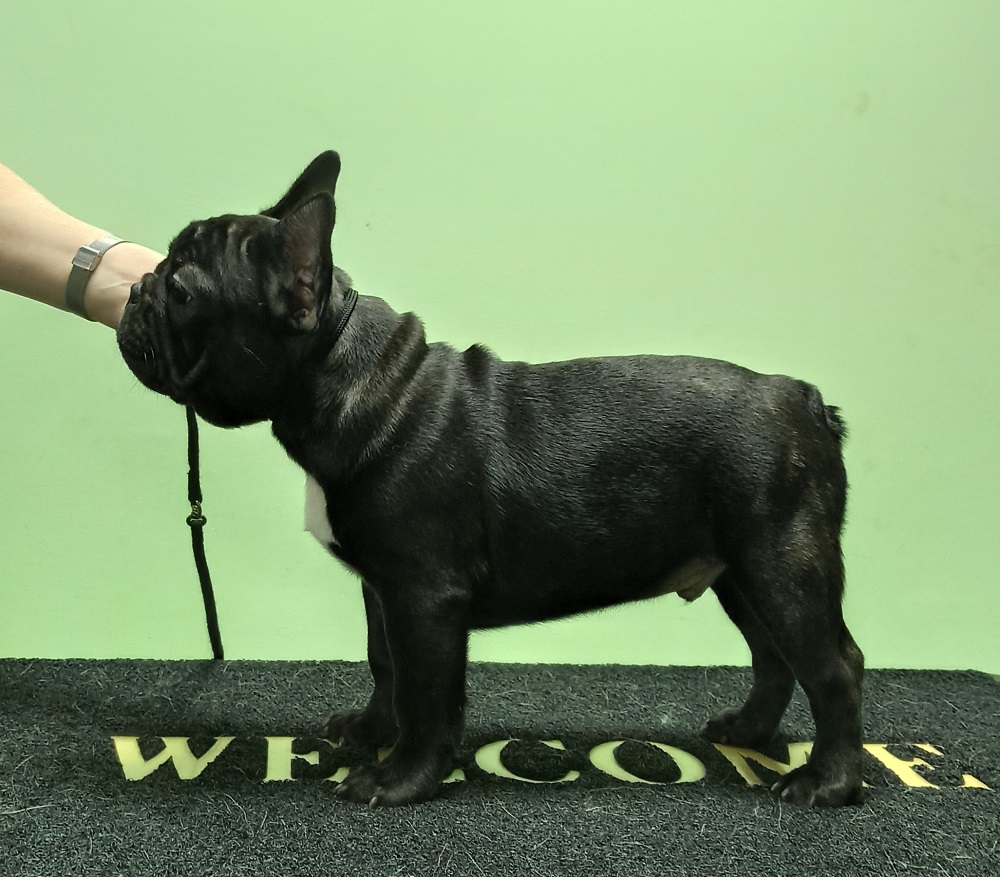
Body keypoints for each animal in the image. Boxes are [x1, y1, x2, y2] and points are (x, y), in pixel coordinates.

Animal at [117, 151, 864, 808]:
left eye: (182, 290)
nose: (135, 290)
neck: (341, 368)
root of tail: (804, 398)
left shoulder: (425, 596)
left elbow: (426, 692)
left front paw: (400, 779)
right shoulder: (384, 589)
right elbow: (384, 664)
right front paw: (370, 733)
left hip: (780, 562)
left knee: (831, 666)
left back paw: (829, 782)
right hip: (739, 570)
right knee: (773, 654)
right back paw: (749, 732)